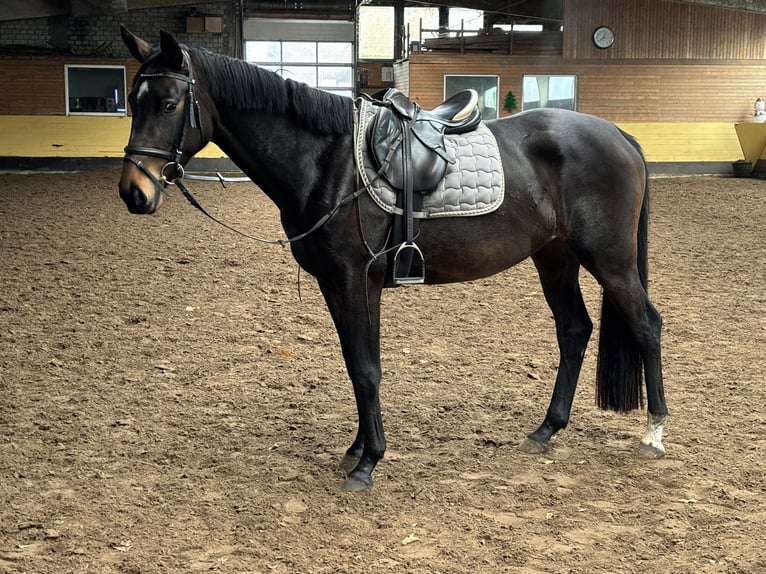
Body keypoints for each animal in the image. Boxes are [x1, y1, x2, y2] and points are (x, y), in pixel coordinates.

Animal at [117, 27, 668, 492]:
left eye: (168, 103)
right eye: (133, 104)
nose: (133, 192)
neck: (330, 162)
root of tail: (619, 135)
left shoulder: (355, 279)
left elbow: (366, 368)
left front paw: (368, 463)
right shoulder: (337, 284)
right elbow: (356, 363)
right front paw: (357, 447)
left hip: (610, 260)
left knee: (646, 325)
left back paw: (654, 432)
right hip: (555, 257)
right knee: (574, 329)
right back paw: (546, 429)